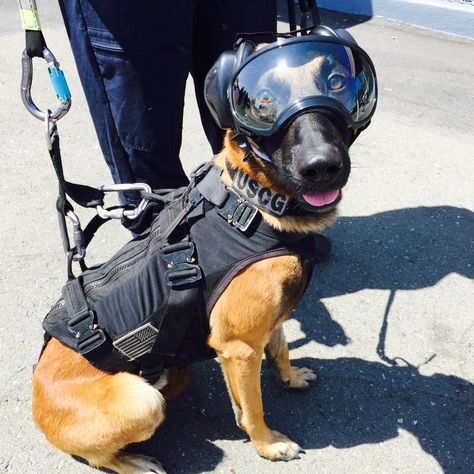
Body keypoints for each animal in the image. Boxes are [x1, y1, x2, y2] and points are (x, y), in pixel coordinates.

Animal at [31, 26, 376, 474]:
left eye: (337, 82)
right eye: (263, 100)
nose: (321, 166)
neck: (253, 201)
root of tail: (36, 403)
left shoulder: (267, 325)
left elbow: (280, 347)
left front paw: (290, 377)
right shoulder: (240, 349)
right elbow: (252, 408)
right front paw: (267, 444)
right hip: (141, 403)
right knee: (99, 456)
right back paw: (135, 462)